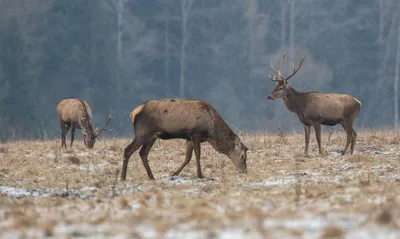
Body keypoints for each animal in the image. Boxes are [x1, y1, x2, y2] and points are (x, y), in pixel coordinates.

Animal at [120, 98, 248, 180]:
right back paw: (123, 177)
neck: (211, 130)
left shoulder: (189, 138)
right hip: (142, 133)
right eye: (242, 156)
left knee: (143, 153)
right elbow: (197, 155)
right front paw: (200, 175)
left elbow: (187, 158)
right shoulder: (195, 133)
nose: (244, 171)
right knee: (128, 150)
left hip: (152, 136)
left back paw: (151, 176)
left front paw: (174, 173)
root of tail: (133, 113)